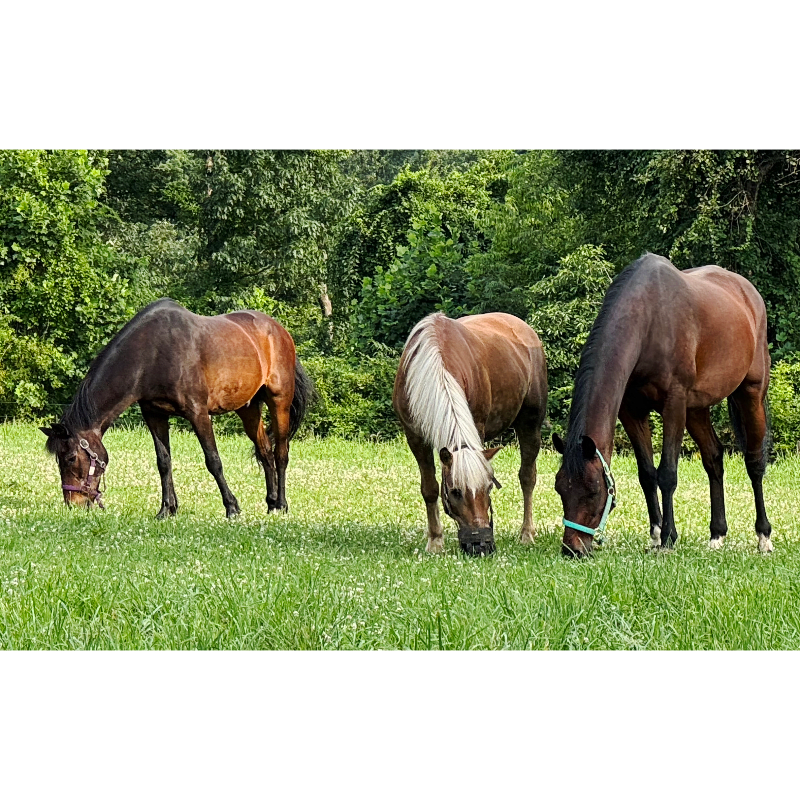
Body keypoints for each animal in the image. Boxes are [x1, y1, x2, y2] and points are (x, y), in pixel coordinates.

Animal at [40, 298, 314, 518]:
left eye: (70, 457)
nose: (73, 503)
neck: (151, 353)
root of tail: (278, 330)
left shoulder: (198, 413)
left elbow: (213, 461)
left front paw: (232, 507)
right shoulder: (154, 414)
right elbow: (164, 462)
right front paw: (167, 509)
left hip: (279, 401)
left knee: (280, 453)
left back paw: (282, 504)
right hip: (248, 408)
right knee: (265, 451)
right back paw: (271, 503)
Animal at [393, 312, 548, 555]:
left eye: (489, 487)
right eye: (455, 492)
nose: (481, 545)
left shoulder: (478, 427)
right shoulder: (415, 437)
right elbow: (429, 488)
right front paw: (435, 540)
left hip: (530, 424)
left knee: (527, 477)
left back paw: (527, 534)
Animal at [553, 253, 773, 557]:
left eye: (594, 490)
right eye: (560, 488)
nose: (572, 549)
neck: (651, 320)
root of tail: (749, 292)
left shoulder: (674, 404)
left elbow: (667, 473)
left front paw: (668, 538)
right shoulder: (632, 410)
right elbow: (647, 474)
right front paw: (656, 534)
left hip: (750, 394)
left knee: (754, 462)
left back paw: (764, 536)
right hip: (696, 409)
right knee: (713, 458)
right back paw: (717, 534)